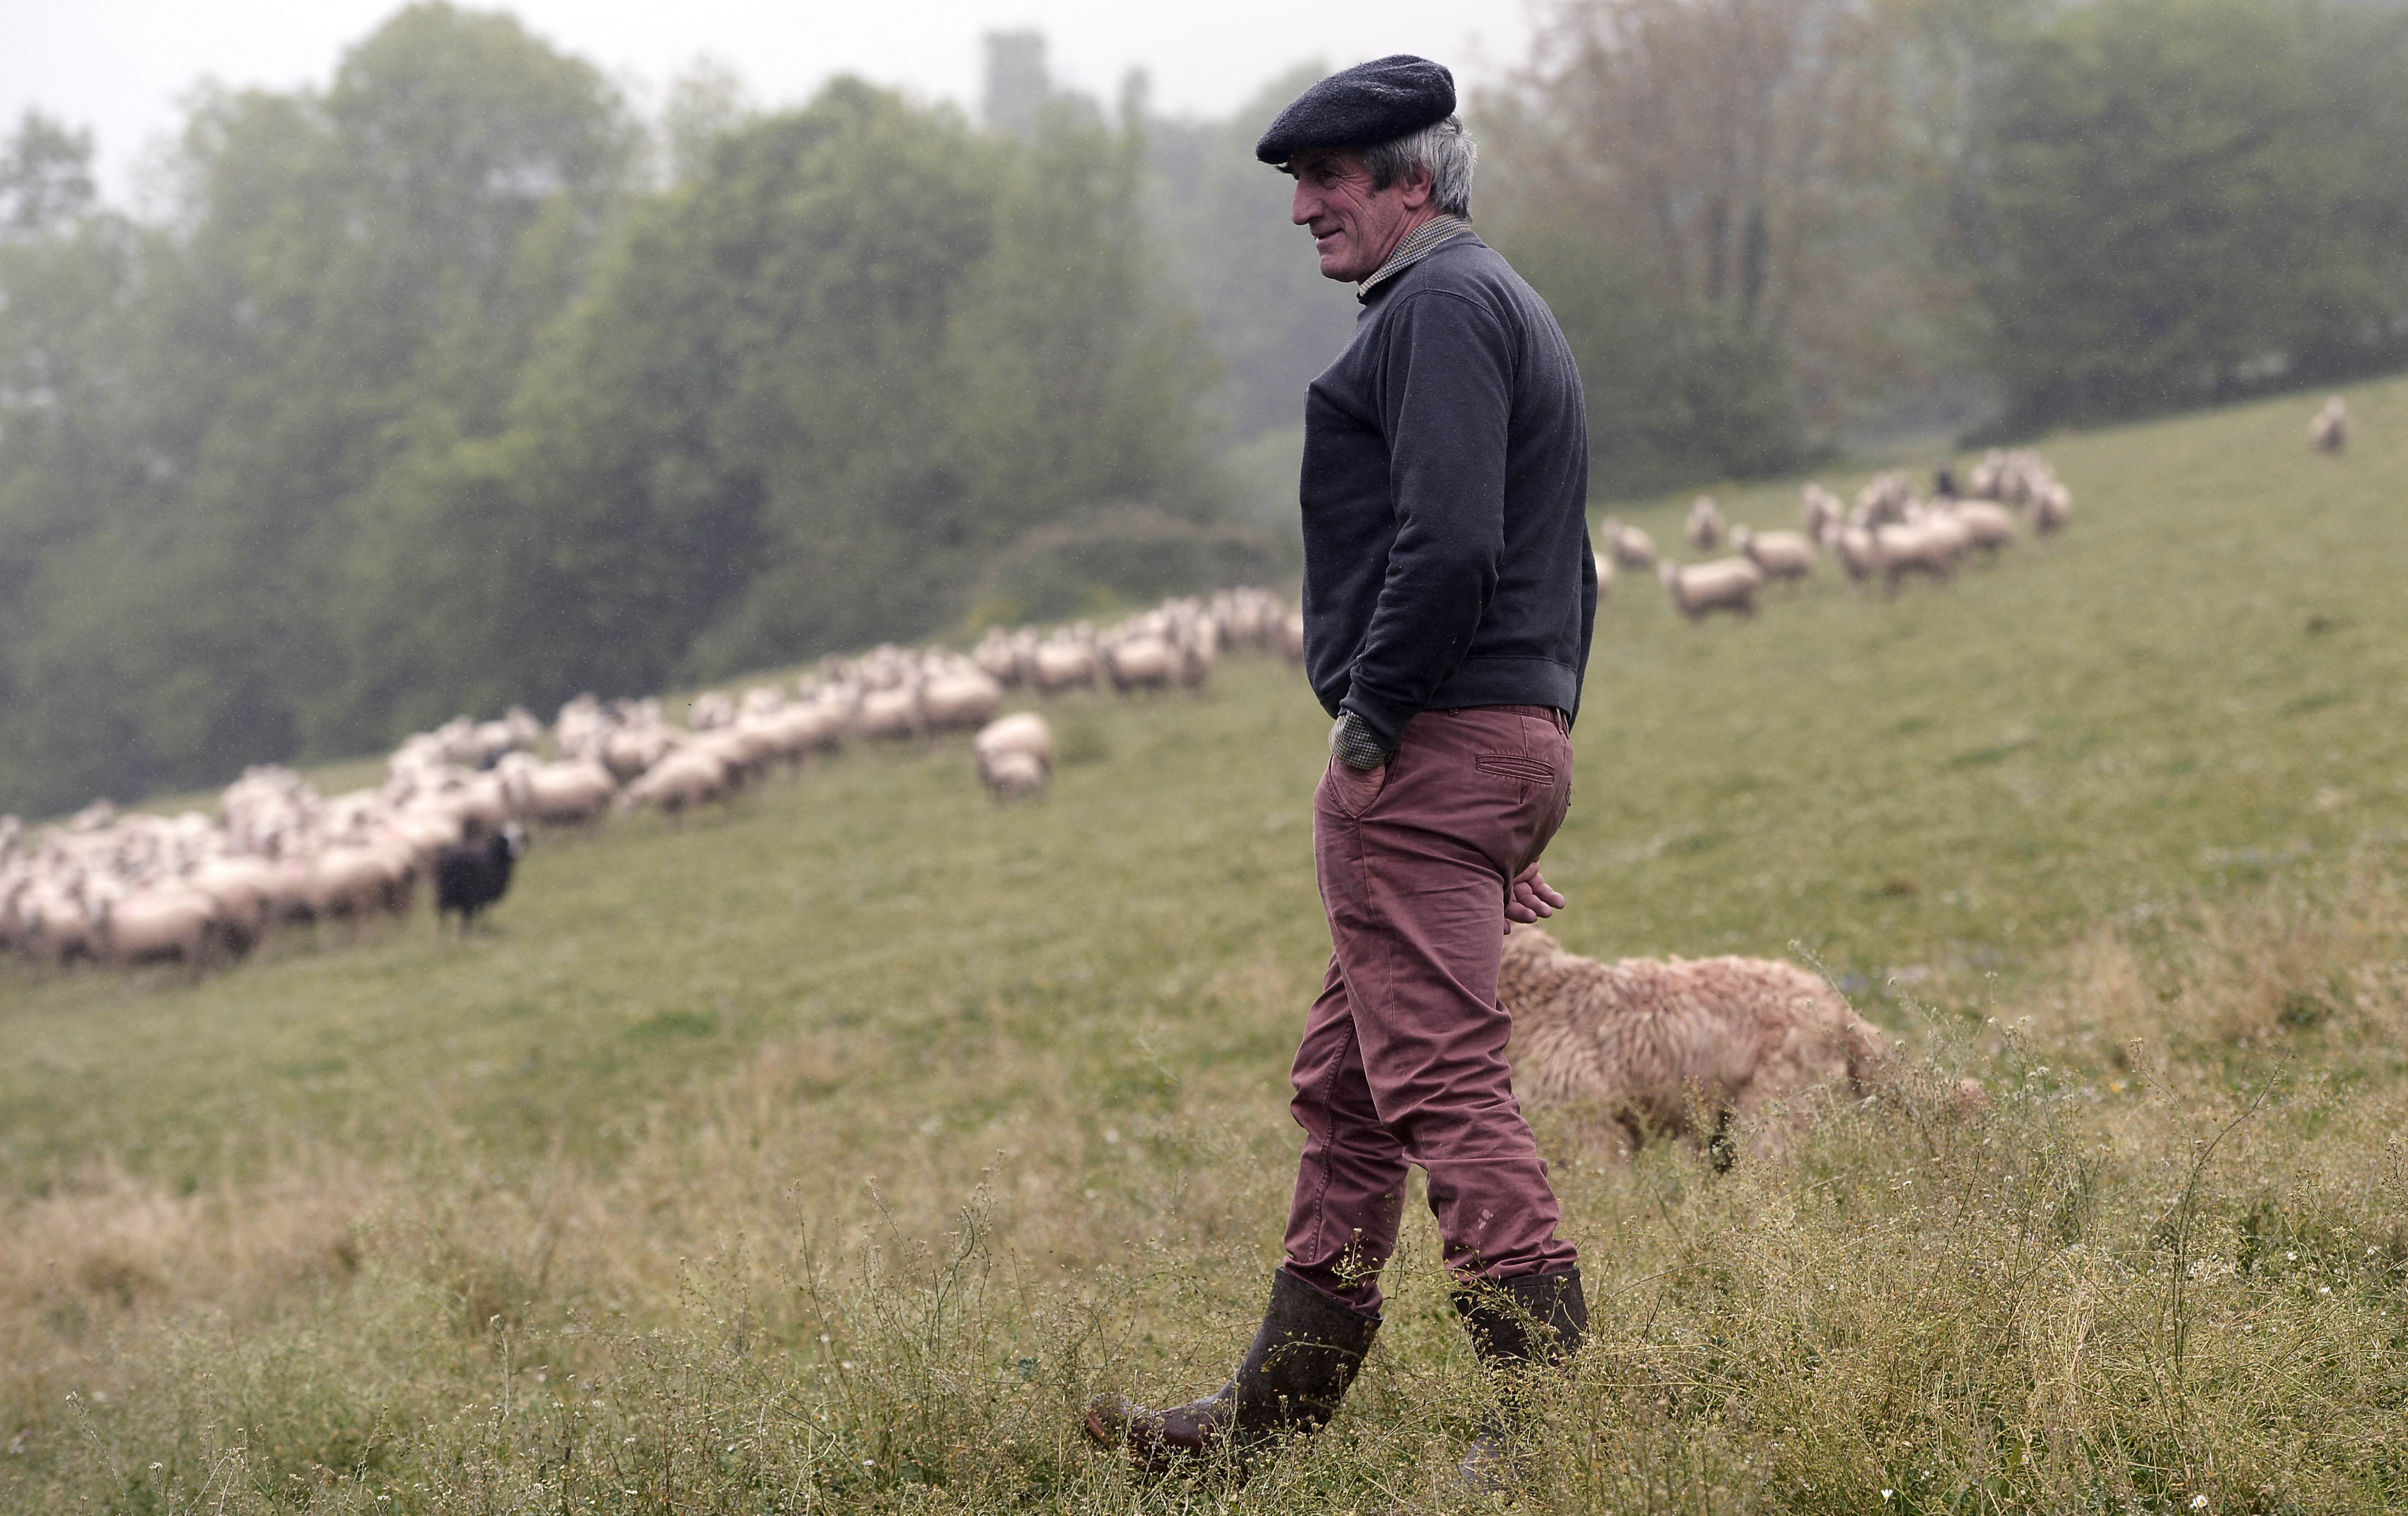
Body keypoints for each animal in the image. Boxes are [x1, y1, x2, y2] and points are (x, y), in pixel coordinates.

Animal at [972, 717, 1059, 808]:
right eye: (982, 754)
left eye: (996, 754)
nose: (987, 763)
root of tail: (1033, 716)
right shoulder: (991, 781)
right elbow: (993, 794)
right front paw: (995, 804)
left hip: (1045, 763)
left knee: (1045, 782)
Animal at [1666, 556, 1762, 621]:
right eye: (1664, 573)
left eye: (1674, 573)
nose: (1669, 583)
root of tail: (1754, 571)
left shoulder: (1696, 609)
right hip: (1740, 601)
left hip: (1746, 597)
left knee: (1752, 613)